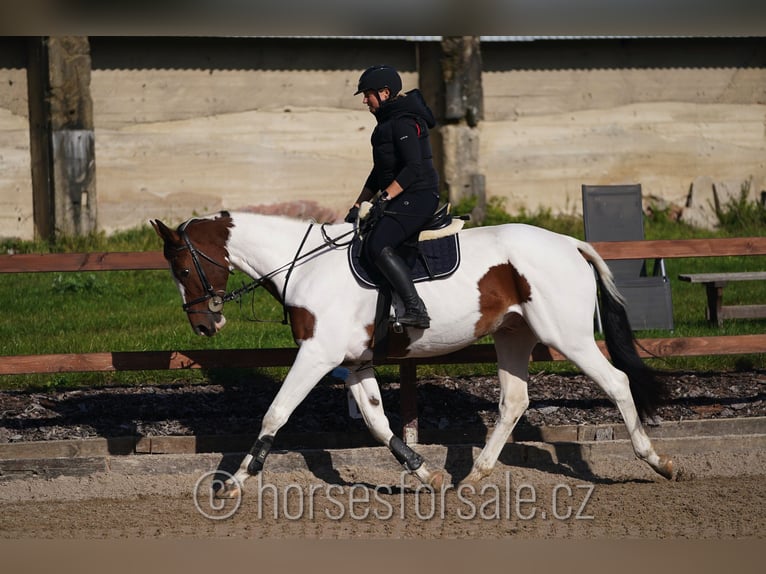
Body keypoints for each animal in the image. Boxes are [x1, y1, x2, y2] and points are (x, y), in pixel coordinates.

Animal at [153, 212, 676, 500]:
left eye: (183, 268)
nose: (203, 325)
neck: (304, 267)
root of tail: (570, 243)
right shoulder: (354, 361)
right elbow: (377, 422)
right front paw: (427, 474)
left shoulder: (318, 355)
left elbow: (275, 413)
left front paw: (235, 482)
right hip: (514, 335)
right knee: (513, 401)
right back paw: (473, 478)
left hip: (567, 336)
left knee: (617, 382)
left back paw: (658, 462)